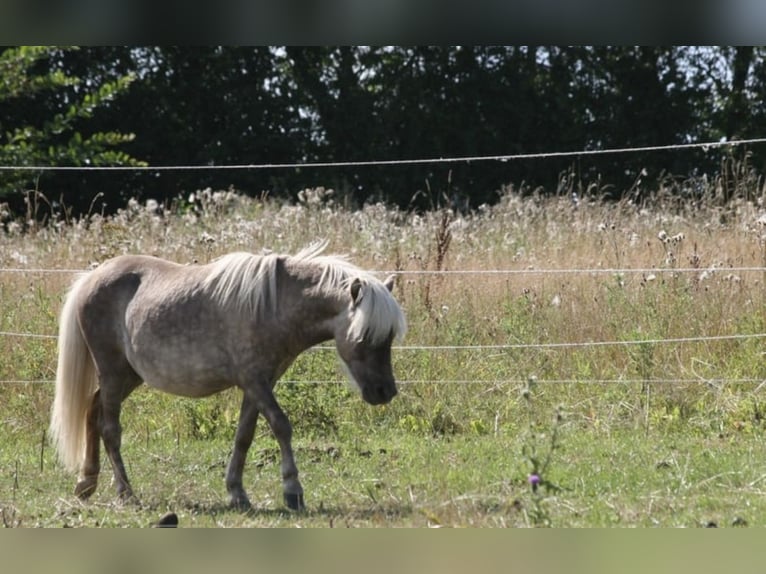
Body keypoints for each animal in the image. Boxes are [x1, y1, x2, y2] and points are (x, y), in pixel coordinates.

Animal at [49, 241, 406, 511]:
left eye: (389, 337)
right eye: (365, 336)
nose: (384, 391)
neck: (272, 305)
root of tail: (92, 277)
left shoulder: (259, 384)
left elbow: (244, 436)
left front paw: (237, 492)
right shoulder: (255, 382)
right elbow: (281, 426)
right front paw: (292, 491)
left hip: (128, 375)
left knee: (92, 411)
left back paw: (86, 483)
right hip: (111, 372)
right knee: (110, 428)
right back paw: (126, 494)